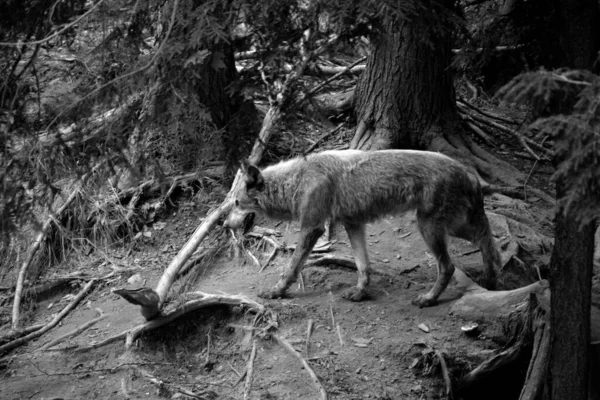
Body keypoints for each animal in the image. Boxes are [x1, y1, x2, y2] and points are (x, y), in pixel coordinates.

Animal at [223, 148, 500, 308]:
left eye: (236, 203)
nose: (224, 224)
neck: (297, 180)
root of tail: (469, 173)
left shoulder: (313, 228)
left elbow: (291, 268)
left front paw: (276, 292)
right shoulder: (353, 224)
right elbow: (363, 266)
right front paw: (360, 293)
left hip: (430, 228)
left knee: (450, 265)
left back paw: (429, 299)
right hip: (448, 227)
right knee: (487, 242)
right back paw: (492, 278)